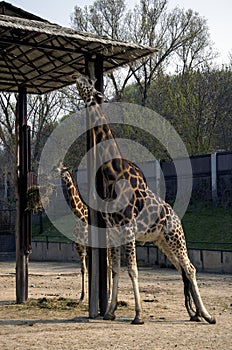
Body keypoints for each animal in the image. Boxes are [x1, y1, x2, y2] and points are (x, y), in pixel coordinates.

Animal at [72, 71, 216, 326]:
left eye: (89, 83)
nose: (77, 74)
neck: (112, 170)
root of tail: (177, 217)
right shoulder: (113, 231)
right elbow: (116, 270)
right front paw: (110, 312)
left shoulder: (128, 228)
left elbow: (133, 270)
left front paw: (138, 315)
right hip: (162, 242)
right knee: (182, 269)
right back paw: (195, 314)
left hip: (175, 237)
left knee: (190, 268)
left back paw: (208, 315)